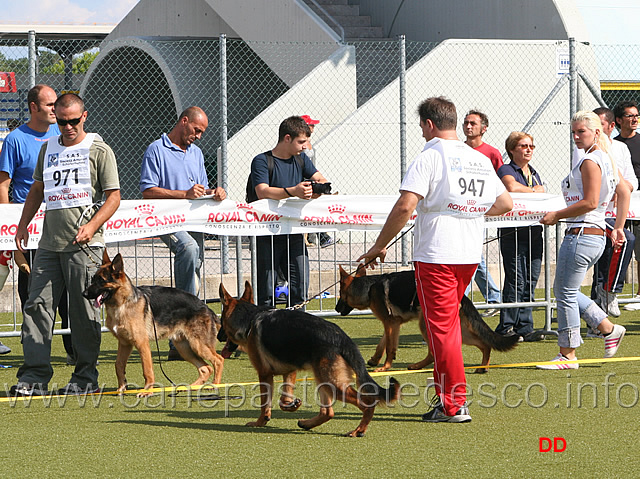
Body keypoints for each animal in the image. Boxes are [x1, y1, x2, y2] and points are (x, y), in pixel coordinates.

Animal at [83, 255, 225, 398]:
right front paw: (121, 388)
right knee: (206, 368)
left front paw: (147, 391)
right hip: (184, 348)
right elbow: (118, 365)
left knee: (218, 360)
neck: (122, 303)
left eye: (101, 280)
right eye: (93, 279)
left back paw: (215, 385)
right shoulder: (125, 344)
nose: (84, 294)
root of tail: (207, 308)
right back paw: (190, 387)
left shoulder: (142, 344)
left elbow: (147, 369)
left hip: (198, 345)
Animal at [220, 282, 400, 438]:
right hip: (322, 379)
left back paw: (359, 430)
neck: (250, 317)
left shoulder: (264, 374)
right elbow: (284, 397)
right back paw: (307, 424)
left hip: (332, 383)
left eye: (221, 322)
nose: (218, 336)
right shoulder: (290, 371)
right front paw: (292, 405)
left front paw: (260, 422)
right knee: (328, 412)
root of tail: (342, 338)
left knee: (367, 403)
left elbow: (265, 403)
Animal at [338, 266, 516, 376]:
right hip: (459, 330)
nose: (336, 308)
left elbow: (389, 347)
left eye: (340, 294)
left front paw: (385, 367)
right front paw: (375, 360)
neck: (368, 288)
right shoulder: (393, 324)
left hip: (424, 325)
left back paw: (417, 366)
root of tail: (462, 295)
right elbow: (383, 344)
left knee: (432, 353)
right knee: (484, 344)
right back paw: (483, 367)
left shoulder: (390, 323)